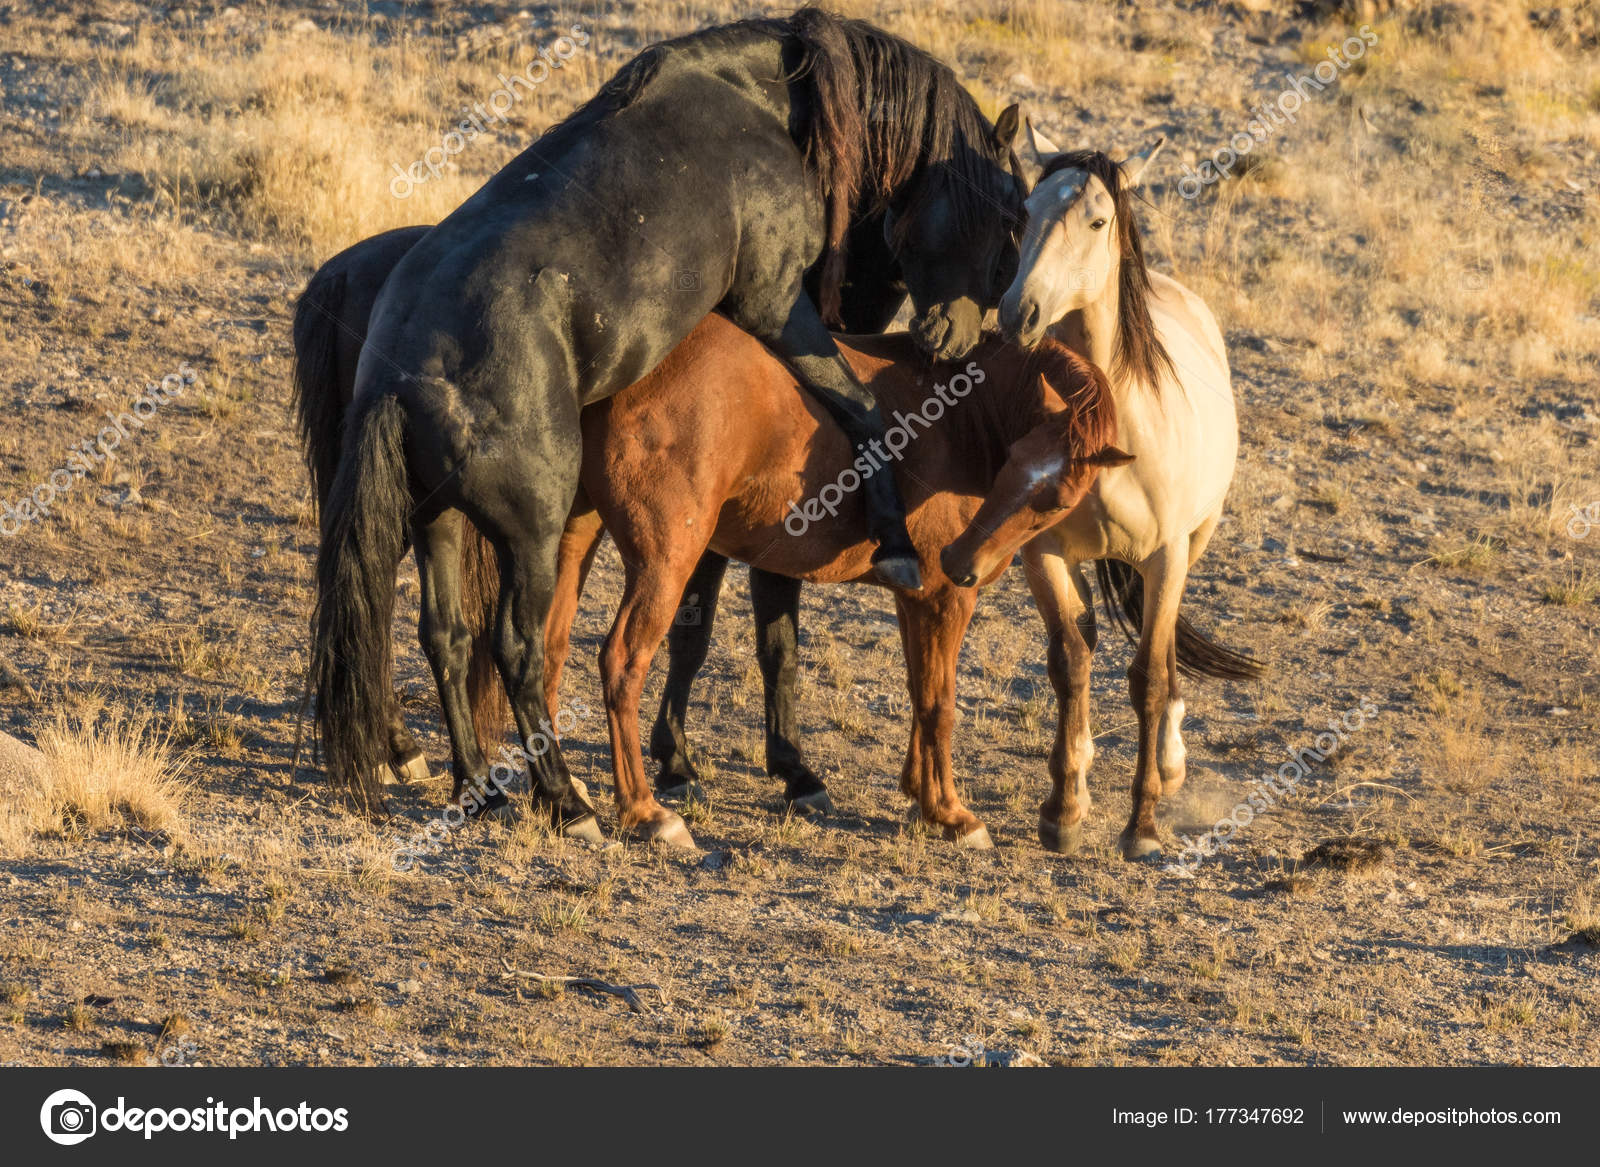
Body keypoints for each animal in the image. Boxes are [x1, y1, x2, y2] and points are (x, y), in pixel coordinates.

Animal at [312, 9, 1024, 838]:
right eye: (1004, 217)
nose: (953, 341)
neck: (759, 100)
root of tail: (399, 374)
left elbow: (723, 618)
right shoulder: (775, 303)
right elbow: (860, 411)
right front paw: (896, 544)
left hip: (439, 524)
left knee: (447, 640)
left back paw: (480, 787)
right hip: (530, 536)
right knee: (517, 648)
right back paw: (567, 800)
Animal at [537, 313, 1126, 845]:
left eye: (1058, 500)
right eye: (1015, 461)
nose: (962, 561)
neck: (961, 419)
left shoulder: (915, 599)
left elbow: (919, 690)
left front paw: (920, 794)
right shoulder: (945, 599)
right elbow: (940, 704)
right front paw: (950, 813)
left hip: (576, 537)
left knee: (549, 649)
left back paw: (563, 793)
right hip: (664, 563)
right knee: (622, 664)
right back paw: (643, 810)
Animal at [992, 123, 1254, 858]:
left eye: (1097, 220)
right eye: (1025, 213)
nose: (1018, 313)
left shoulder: (1165, 558)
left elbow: (1148, 677)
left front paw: (1142, 824)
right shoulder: (1042, 552)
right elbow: (1069, 662)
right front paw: (1063, 809)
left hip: (1193, 543)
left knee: (1160, 652)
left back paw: (1169, 764)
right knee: (1086, 640)